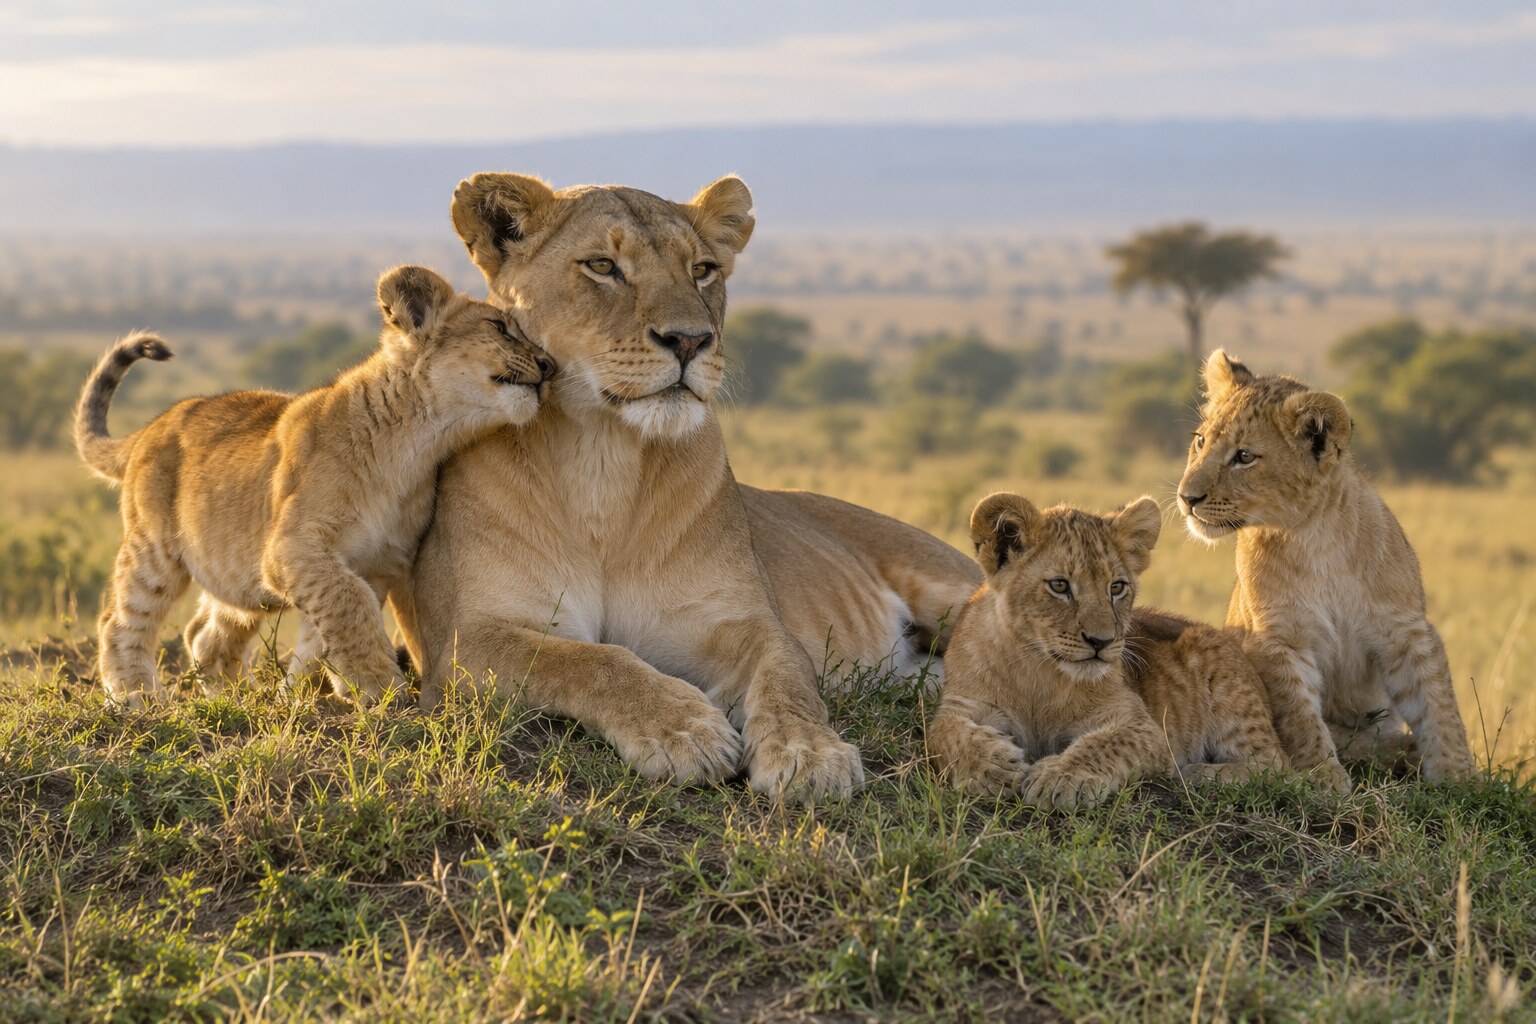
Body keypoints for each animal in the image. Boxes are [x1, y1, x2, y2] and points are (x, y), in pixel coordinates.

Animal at [75, 265, 554, 708]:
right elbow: (349, 604)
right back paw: (134, 695)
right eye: (499, 328)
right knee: (118, 620)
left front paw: (307, 696)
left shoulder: (377, 560)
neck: (418, 444)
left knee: (205, 635)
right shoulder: (291, 549)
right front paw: (380, 685)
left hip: (236, 572)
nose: (550, 366)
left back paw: (231, 695)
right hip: (154, 550)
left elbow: (325, 630)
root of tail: (148, 429)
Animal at [385, 172, 980, 801]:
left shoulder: (746, 622)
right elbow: (590, 661)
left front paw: (809, 754)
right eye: (603, 266)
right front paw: (685, 730)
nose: (691, 341)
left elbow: (787, 680)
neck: (603, 460)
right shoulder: (463, 645)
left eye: (702, 270)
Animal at [929, 493, 1289, 807]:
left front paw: (1061, 778)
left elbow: (1106, 743)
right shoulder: (962, 703)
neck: (1038, 669)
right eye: (1059, 585)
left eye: (1116, 587)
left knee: (1277, 766)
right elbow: (944, 734)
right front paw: (991, 768)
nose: (1101, 641)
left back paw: (1201, 773)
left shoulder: (1141, 725)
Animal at [1176, 350, 1478, 789]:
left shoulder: (1405, 630)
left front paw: (1460, 778)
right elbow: (1299, 716)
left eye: (1244, 457)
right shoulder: (1276, 639)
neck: (1314, 536)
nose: (1186, 498)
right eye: (1200, 441)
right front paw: (1324, 780)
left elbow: (1438, 704)